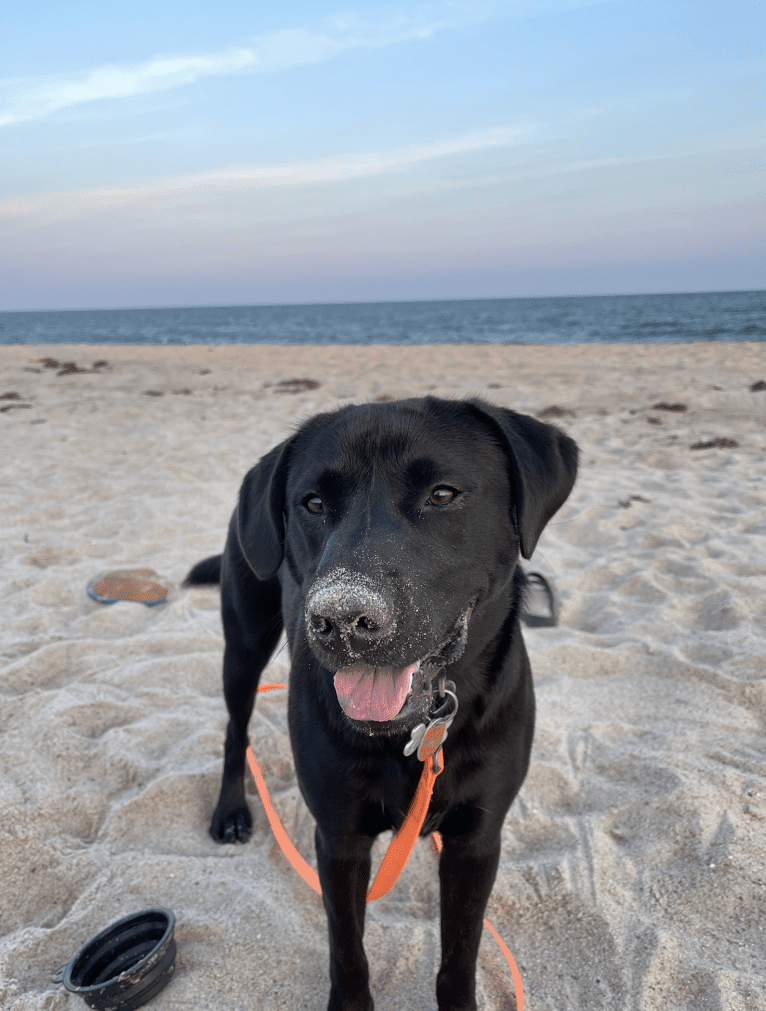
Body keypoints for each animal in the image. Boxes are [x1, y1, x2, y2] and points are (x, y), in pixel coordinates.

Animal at [188, 394, 578, 1011]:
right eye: (313, 504)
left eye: (442, 494)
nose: (343, 618)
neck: (416, 730)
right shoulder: (340, 839)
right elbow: (348, 953)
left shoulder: (477, 841)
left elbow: (459, 957)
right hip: (243, 643)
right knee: (235, 732)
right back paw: (230, 811)